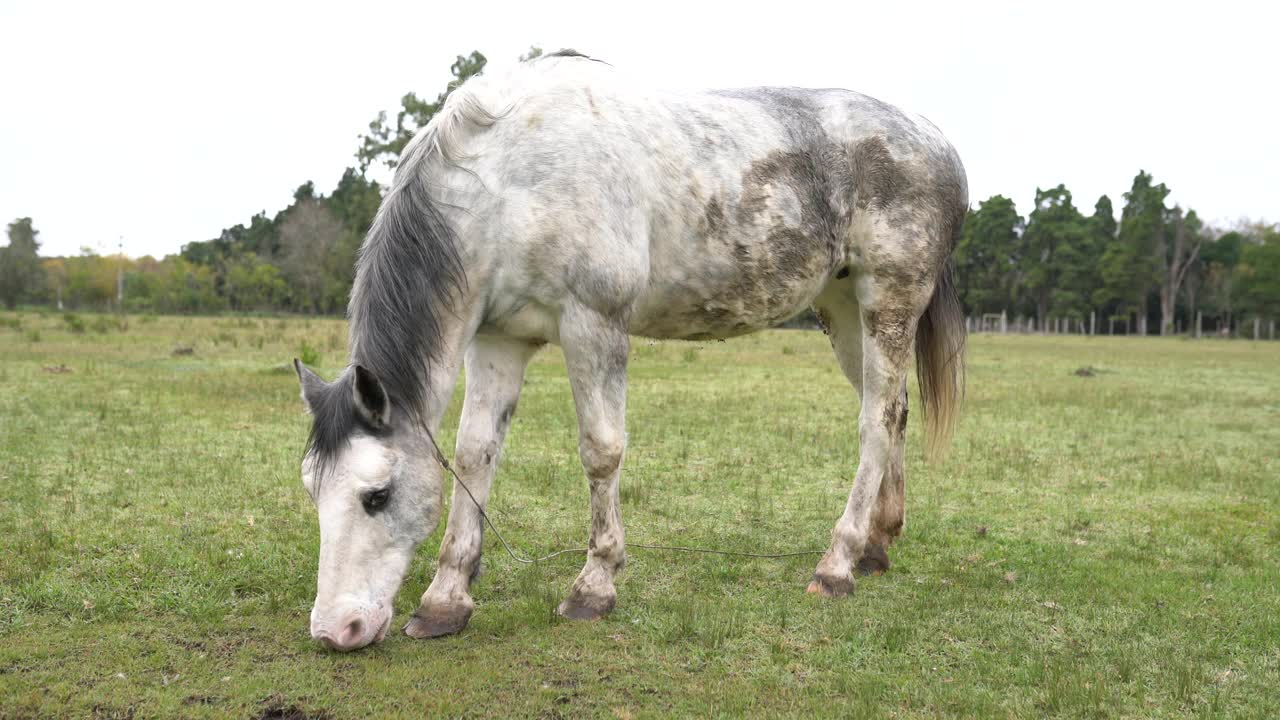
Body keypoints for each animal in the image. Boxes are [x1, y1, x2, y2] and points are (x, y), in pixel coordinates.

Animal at [294, 51, 962, 650]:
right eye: (312, 491)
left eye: (376, 496)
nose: (335, 631)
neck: (509, 184)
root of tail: (935, 140)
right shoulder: (498, 341)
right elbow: (474, 455)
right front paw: (445, 601)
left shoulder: (594, 326)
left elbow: (601, 451)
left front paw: (594, 586)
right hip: (844, 311)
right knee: (895, 411)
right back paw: (876, 545)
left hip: (888, 303)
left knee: (875, 422)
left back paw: (838, 563)